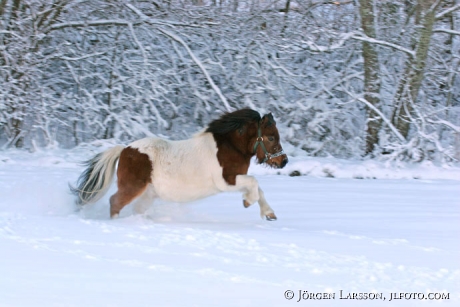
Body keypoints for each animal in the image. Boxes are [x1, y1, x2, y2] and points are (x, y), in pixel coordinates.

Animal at [70, 109, 288, 223]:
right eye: (271, 137)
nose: (283, 161)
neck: (230, 147)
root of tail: (125, 149)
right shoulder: (226, 181)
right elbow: (254, 183)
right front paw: (247, 202)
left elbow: (259, 188)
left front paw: (269, 214)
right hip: (133, 187)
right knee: (115, 201)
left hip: (148, 194)